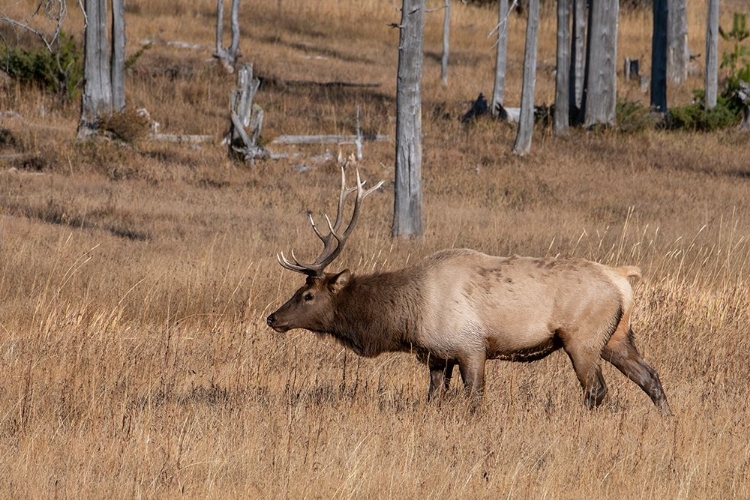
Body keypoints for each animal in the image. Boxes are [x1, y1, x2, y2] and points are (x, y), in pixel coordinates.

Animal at [268, 168, 672, 414]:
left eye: (308, 295)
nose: (272, 317)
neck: (407, 316)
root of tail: (622, 279)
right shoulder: (436, 355)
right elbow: (433, 398)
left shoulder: (470, 346)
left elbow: (475, 398)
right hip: (617, 336)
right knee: (650, 376)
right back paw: (667, 421)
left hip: (583, 338)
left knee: (596, 390)